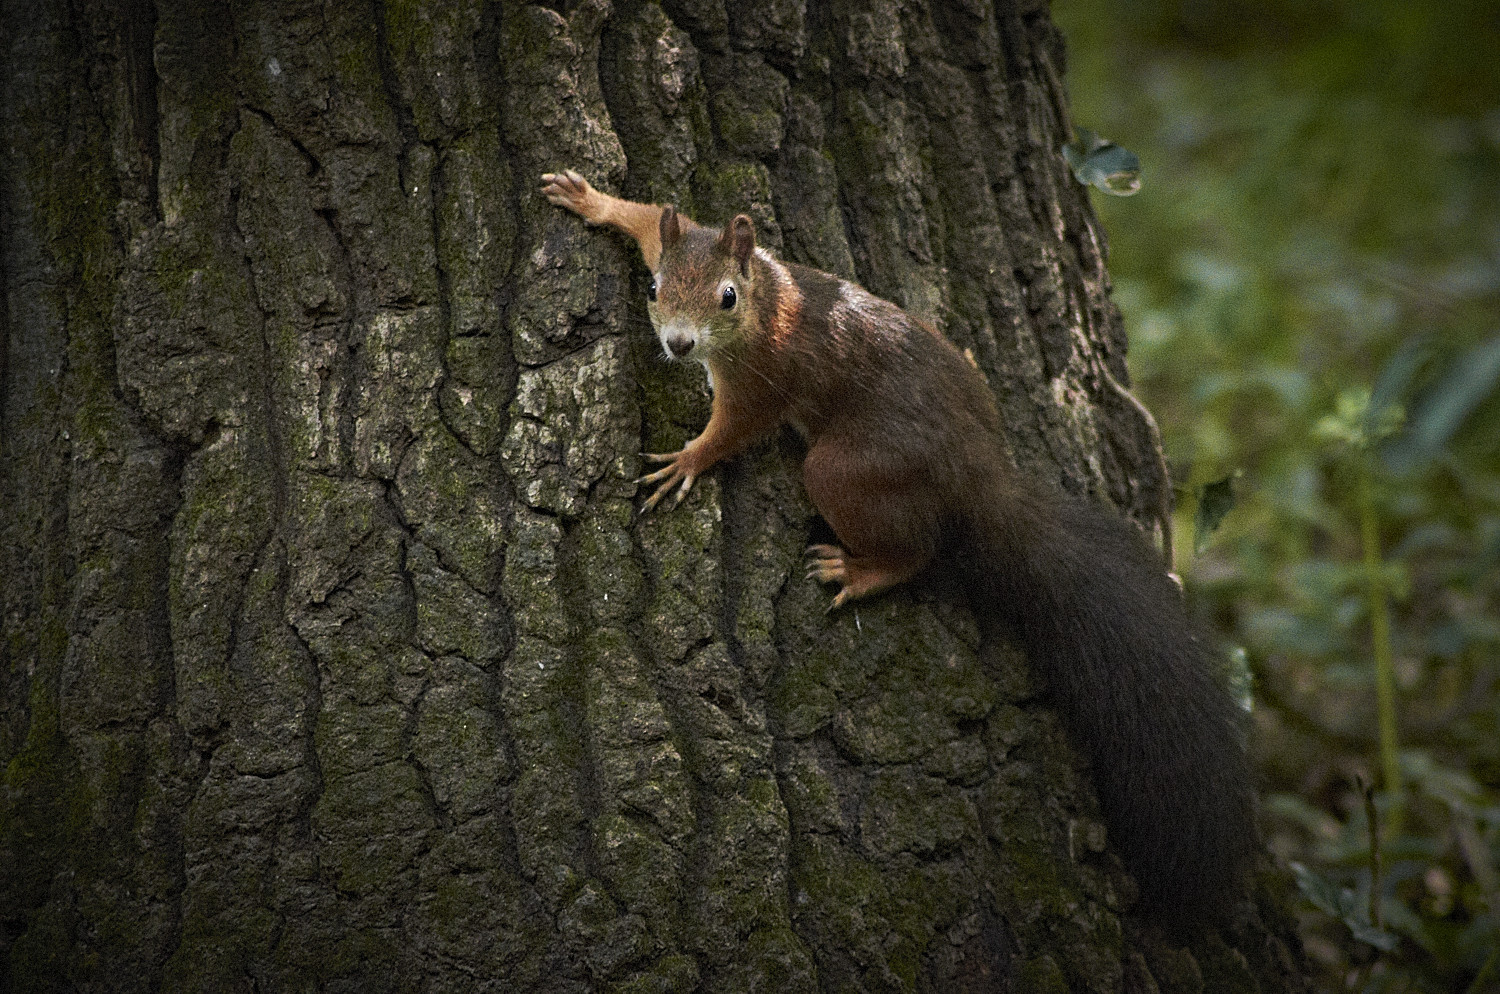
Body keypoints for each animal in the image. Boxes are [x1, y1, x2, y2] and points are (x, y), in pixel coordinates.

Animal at [540, 169, 1254, 917]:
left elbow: (734, 430)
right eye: (654, 289)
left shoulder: (765, 377)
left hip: (847, 468)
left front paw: (688, 461)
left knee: (913, 551)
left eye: (726, 296)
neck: (770, 300)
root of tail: (979, 473)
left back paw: (861, 571)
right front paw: (590, 199)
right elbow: (648, 220)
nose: (678, 345)